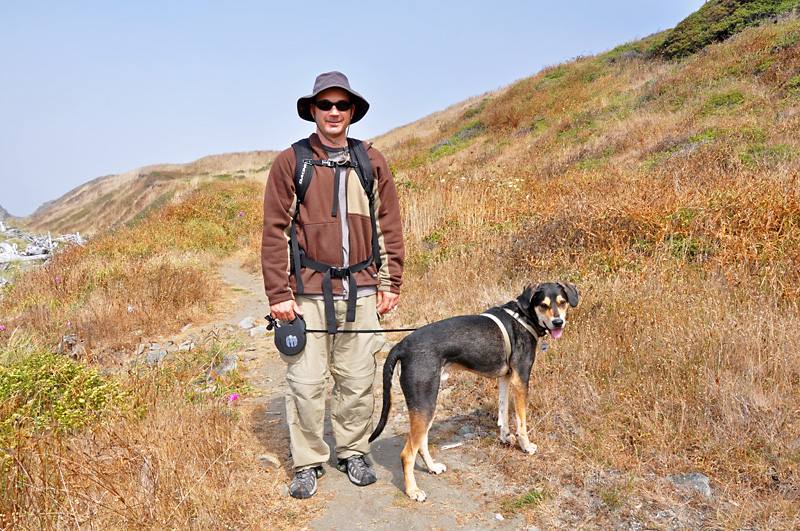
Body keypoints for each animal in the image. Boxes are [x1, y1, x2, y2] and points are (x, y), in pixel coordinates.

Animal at [372, 282, 580, 502]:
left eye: (563, 302)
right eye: (543, 305)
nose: (558, 322)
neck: (523, 316)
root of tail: (401, 345)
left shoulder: (506, 378)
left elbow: (503, 412)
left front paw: (505, 437)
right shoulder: (521, 379)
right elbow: (521, 422)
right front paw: (526, 446)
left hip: (425, 404)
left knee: (421, 443)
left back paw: (432, 467)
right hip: (425, 403)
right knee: (407, 454)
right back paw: (413, 491)